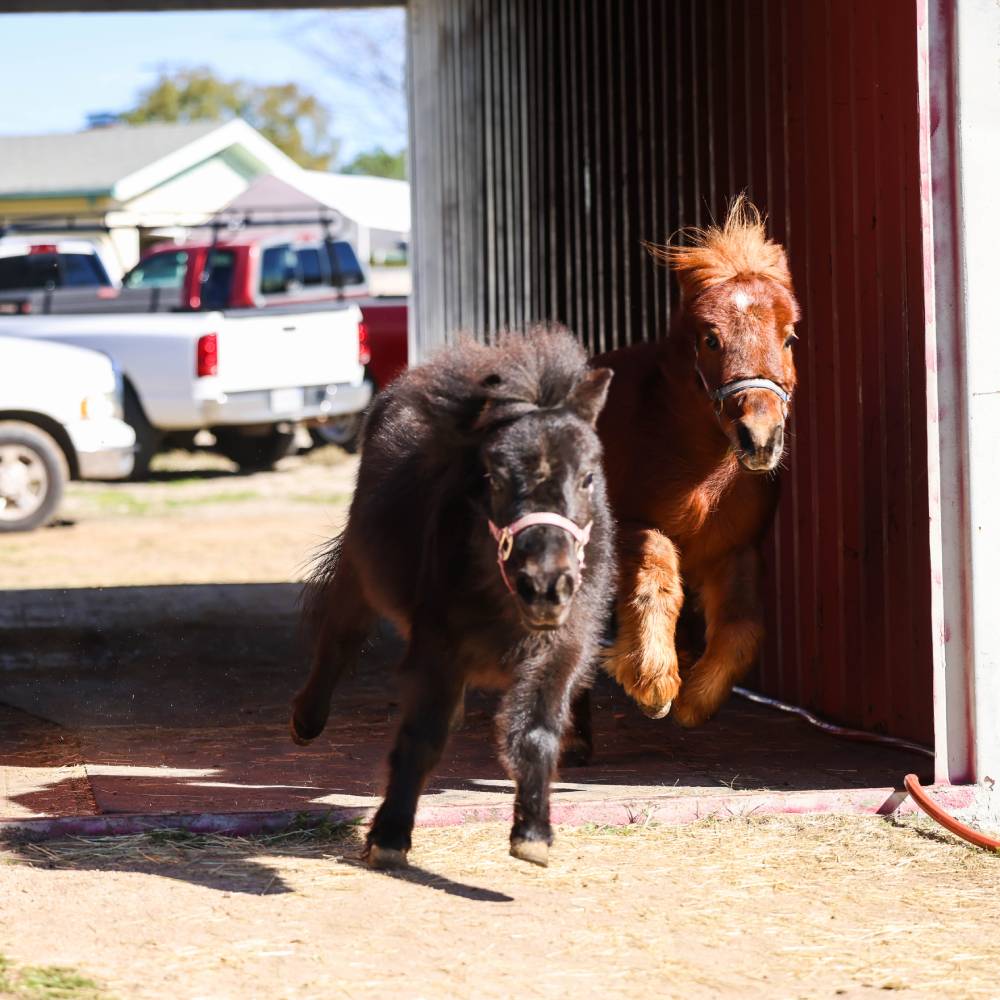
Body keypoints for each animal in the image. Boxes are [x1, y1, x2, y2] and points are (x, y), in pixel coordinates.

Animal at [292, 326, 616, 868]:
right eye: (495, 478)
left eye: (589, 477)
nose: (546, 587)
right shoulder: (437, 648)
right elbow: (422, 736)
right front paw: (389, 837)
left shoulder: (561, 650)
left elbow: (536, 735)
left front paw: (532, 834)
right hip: (358, 577)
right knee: (339, 637)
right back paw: (306, 720)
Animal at [596, 195, 800, 728]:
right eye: (710, 338)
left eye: (789, 337)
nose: (760, 438)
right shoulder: (630, 527)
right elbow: (656, 575)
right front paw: (652, 681)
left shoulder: (736, 548)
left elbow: (743, 627)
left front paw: (695, 696)